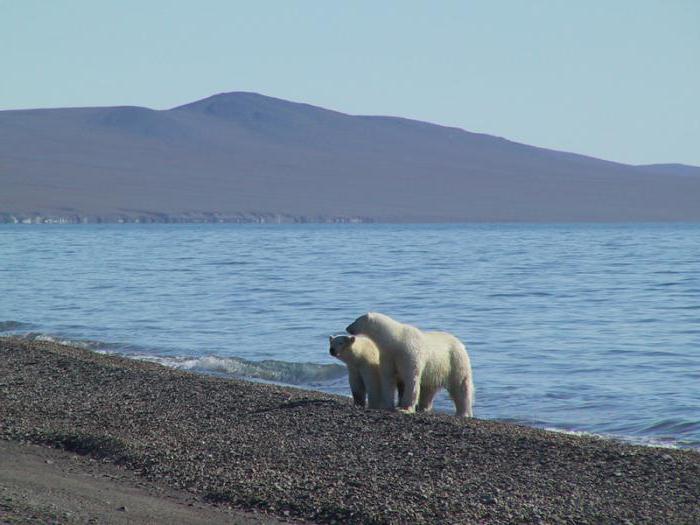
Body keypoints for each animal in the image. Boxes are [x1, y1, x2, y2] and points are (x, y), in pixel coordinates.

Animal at [346, 312, 476, 418]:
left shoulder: (409, 353)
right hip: (435, 369)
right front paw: (386, 405)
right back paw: (424, 408)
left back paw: (463, 413)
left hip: (455, 360)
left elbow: (411, 380)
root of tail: (460, 343)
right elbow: (388, 378)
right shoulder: (389, 356)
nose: (347, 327)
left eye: (356, 320)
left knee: (461, 385)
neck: (396, 340)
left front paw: (405, 409)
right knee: (428, 389)